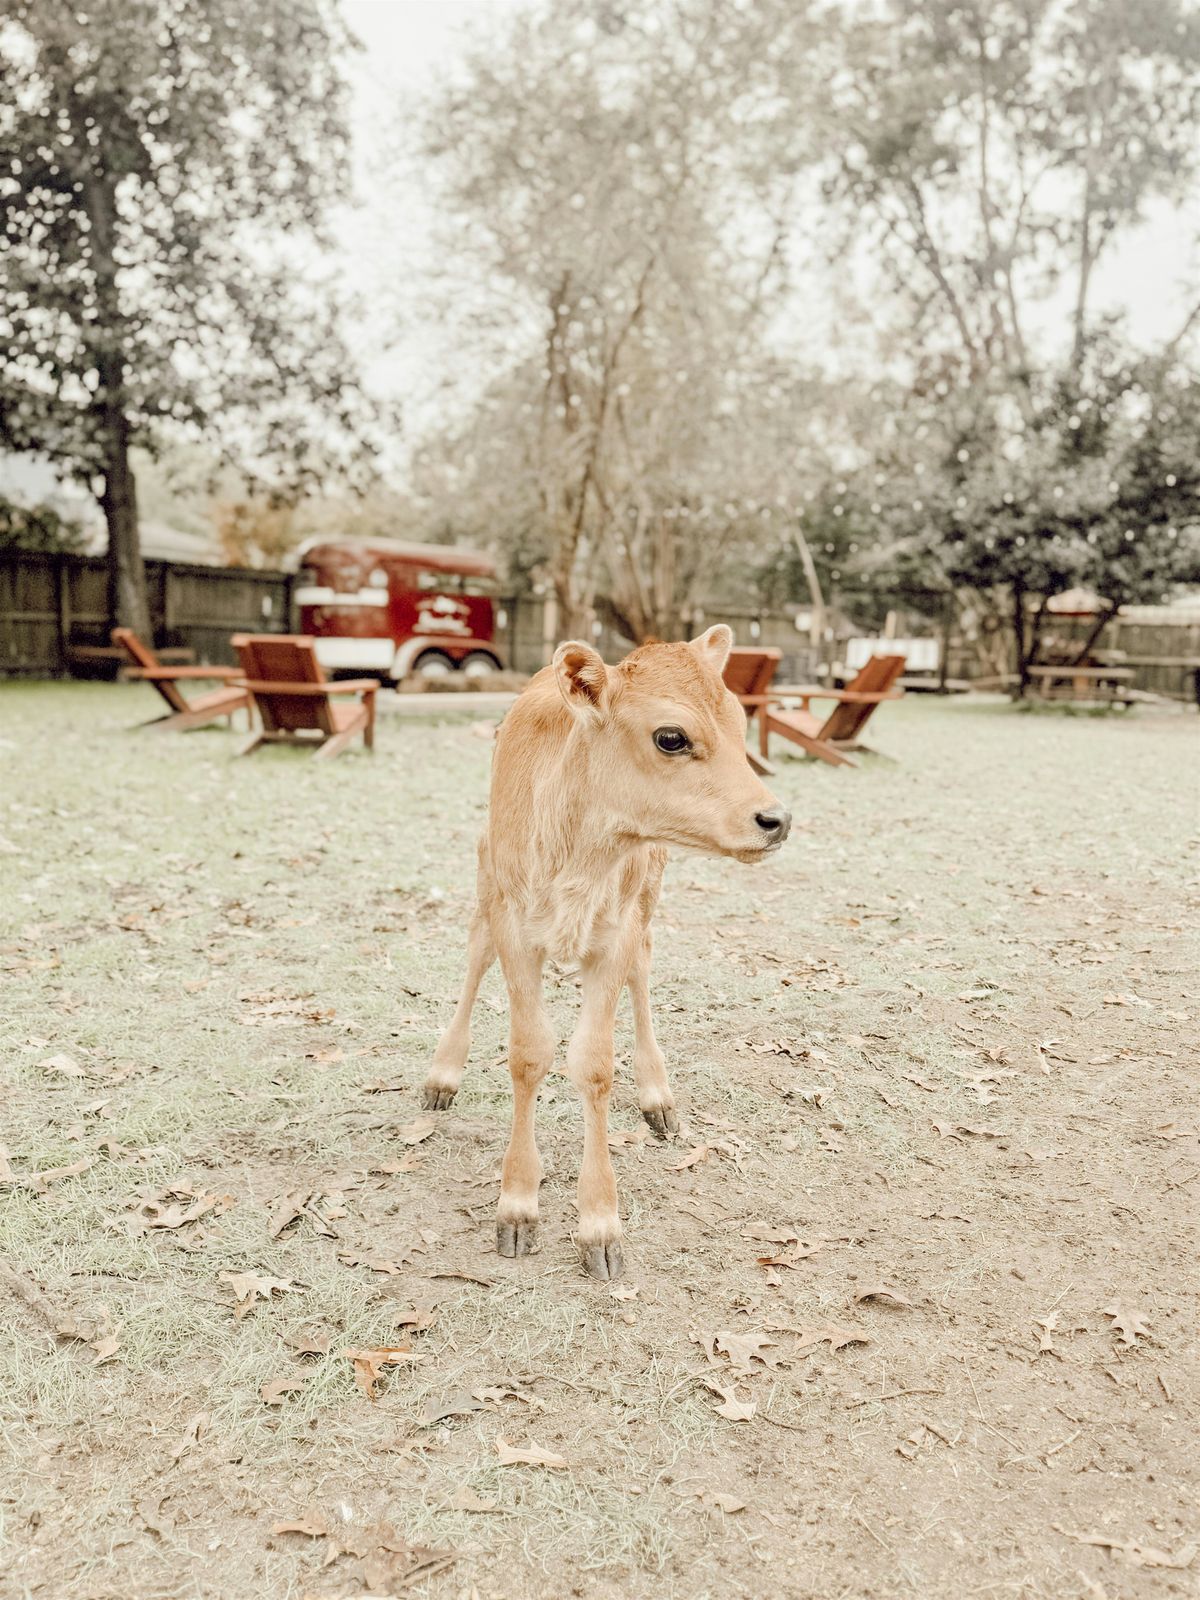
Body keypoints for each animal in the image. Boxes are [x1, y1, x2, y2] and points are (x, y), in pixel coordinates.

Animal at [422, 630, 790, 1280]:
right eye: (671, 737)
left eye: (742, 722)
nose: (775, 819)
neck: (577, 854)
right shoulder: (513, 924)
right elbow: (527, 1054)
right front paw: (517, 1206)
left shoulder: (616, 930)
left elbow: (594, 1062)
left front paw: (599, 1224)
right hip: (486, 873)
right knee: (474, 953)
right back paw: (443, 1074)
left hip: (650, 888)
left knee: (643, 969)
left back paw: (658, 1096)